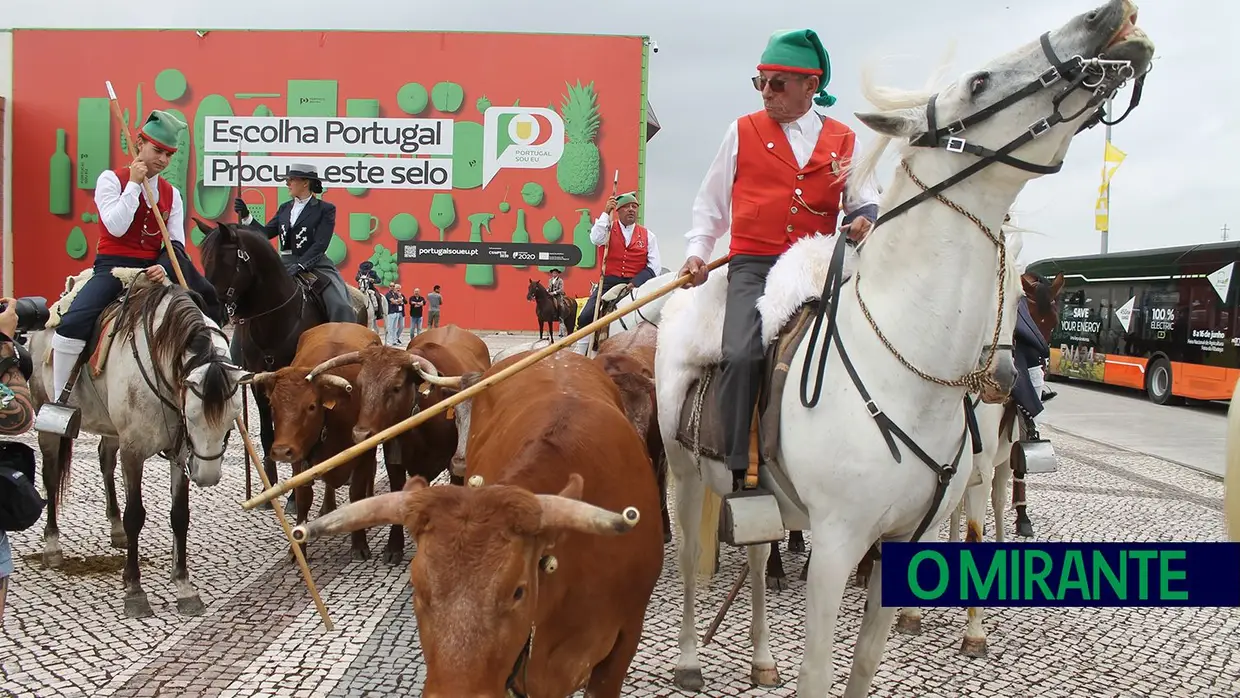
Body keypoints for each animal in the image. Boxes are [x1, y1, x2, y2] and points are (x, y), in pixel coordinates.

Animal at [28, 276, 246, 619]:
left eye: (233, 419)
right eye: (192, 415)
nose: (207, 476)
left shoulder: (178, 453)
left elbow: (180, 515)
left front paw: (183, 585)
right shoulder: (134, 450)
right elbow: (136, 515)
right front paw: (134, 589)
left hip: (110, 429)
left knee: (105, 462)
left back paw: (115, 530)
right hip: (46, 417)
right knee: (50, 478)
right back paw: (53, 546)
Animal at [654, 2, 1145, 694]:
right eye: (979, 82)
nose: (1110, 18)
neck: (907, 372)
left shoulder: (902, 539)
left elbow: (865, 660)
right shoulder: (836, 544)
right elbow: (818, 672)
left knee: (754, 553)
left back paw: (760, 656)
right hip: (687, 469)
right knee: (695, 562)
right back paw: (689, 659)